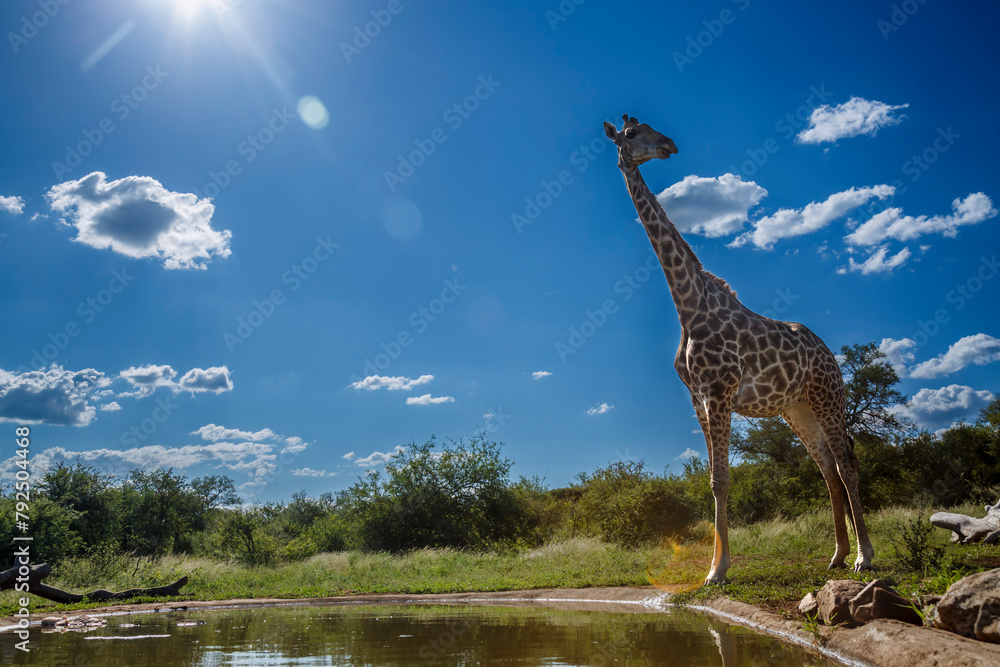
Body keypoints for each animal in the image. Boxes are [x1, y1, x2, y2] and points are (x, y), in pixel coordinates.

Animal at [603, 114, 874, 583]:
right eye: (633, 134)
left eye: (649, 129)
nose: (669, 144)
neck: (688, 308)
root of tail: (828, 353)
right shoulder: (698, 397)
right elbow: (714, 479)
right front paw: (714, 568)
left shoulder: (720, 391)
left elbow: (723, 480)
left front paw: (719, 570)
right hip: (796, 407)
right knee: (826, 467)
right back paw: (837, 555)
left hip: (828, 396)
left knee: (845, 464)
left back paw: (864, 555)